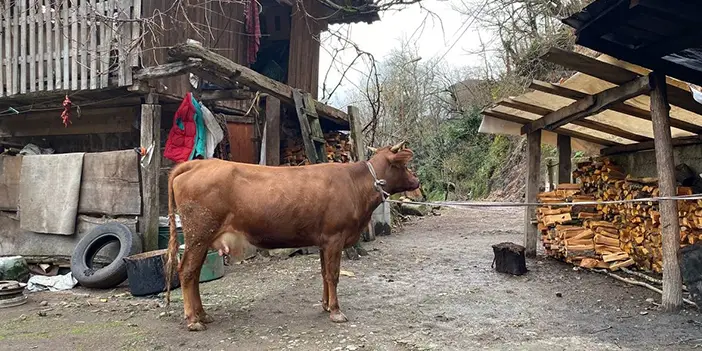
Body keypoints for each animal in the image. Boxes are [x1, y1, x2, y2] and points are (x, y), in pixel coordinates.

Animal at [164, 142, 418, 332]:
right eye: (404, 165)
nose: (416, 181)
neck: (355, 184)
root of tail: (197, 164)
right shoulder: (335, 237)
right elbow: (334, 275)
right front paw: (336, 311)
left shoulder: (324, 241)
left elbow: (324, 274)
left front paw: (326, 306)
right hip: (198, 235)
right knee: (187, 272)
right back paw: (193, 320)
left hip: (203, 239)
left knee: (195, 274)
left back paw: (203, 315)